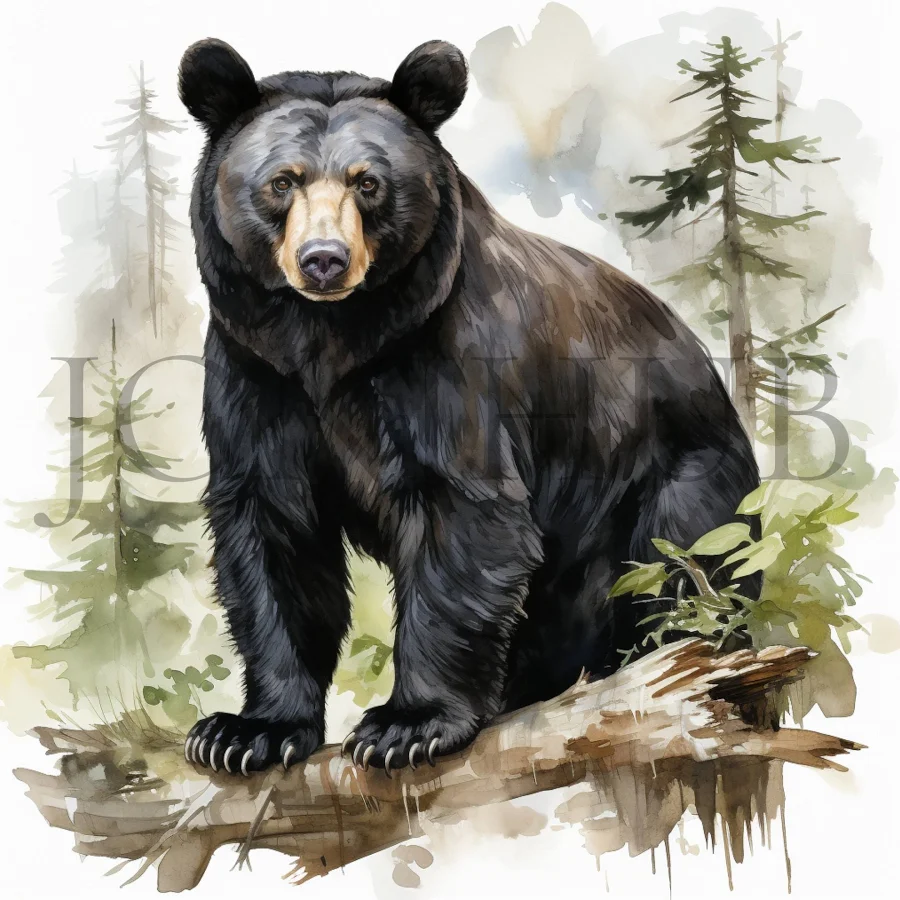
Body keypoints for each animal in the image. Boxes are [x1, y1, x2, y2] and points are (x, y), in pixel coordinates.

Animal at [178, 38, 759, 776]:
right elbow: (273, 529)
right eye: (284, 181)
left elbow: (463, 513)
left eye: (369, 182)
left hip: (678, 482)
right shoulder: (255, 371)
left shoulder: (447, 356)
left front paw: (408, 723)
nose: (323, 260)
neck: (329, 339)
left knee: (685, 567)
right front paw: (249, 730)